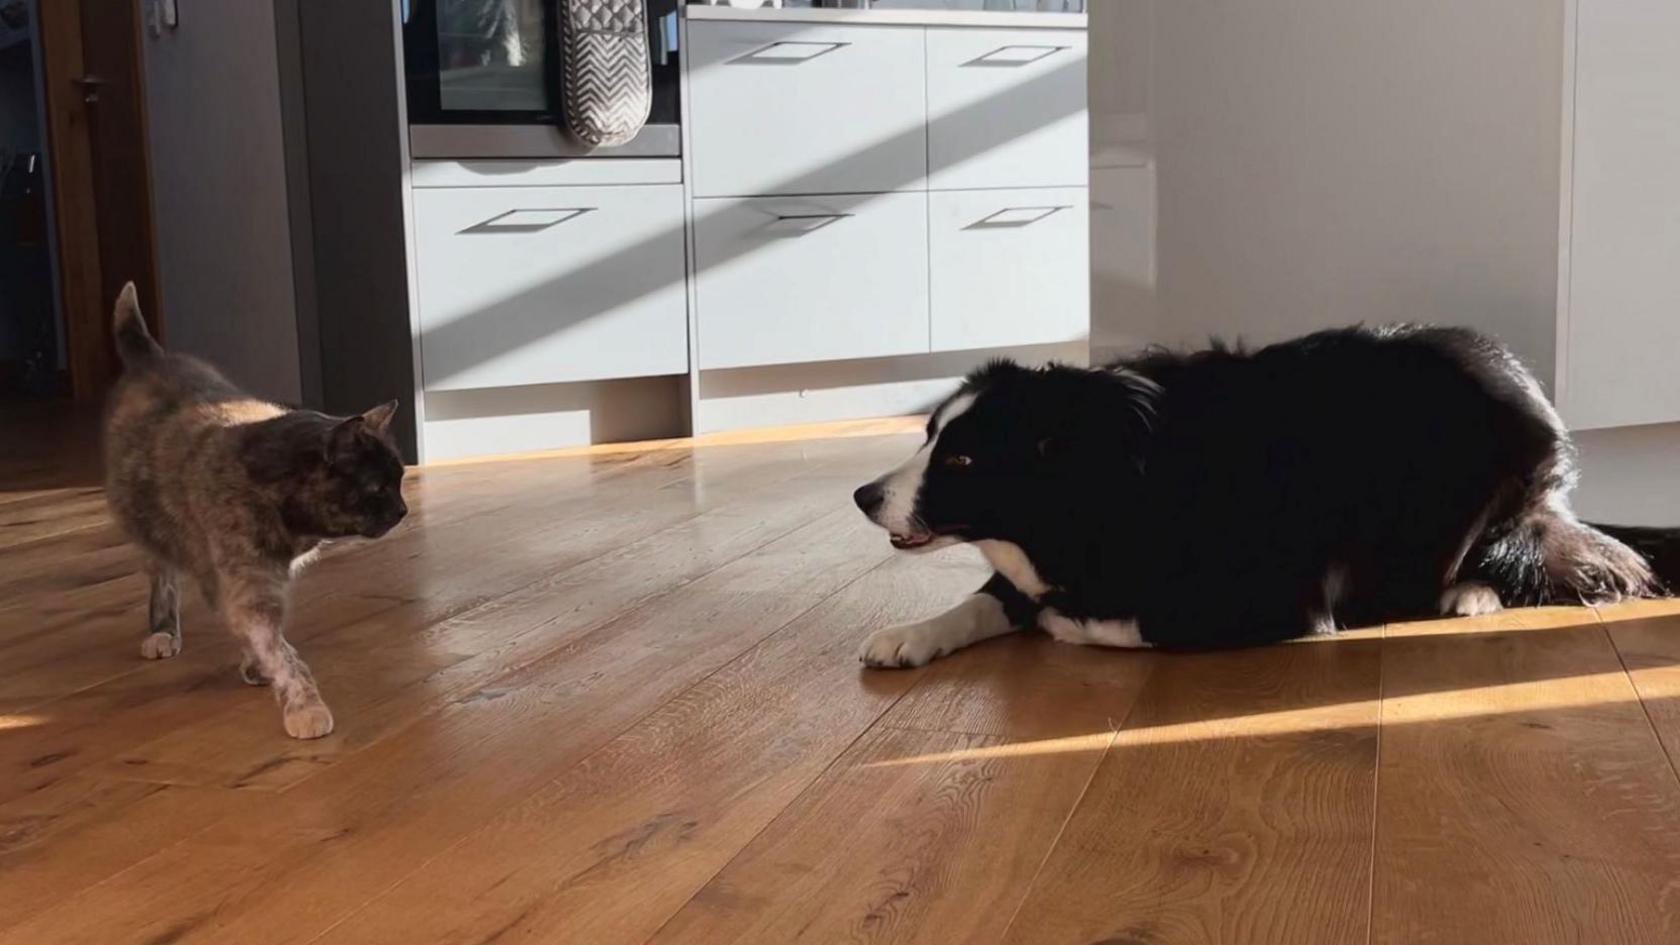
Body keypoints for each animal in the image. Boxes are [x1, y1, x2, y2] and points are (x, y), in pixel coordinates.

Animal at [103, 279, 408, 736]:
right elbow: (281, 652)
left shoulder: (255, 584)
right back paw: (162, 633)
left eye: (401, 478)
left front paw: (260, 665)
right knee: (163, 580)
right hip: (149, 527)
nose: (404, 509)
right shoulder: (250, 584)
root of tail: (152, 358)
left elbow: (263, 638)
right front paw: (304, 706)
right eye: (378, 487)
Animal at [853, 327, 1680, 665]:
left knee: (1526, 557)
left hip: (1492, 497)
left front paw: (1067, 622)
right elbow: (984, 599)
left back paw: (1470, 593)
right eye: (928, 437)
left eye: (961, 458)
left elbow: (1127, 622)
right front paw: (910, 634)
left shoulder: (1277, 597)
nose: (863, 495)